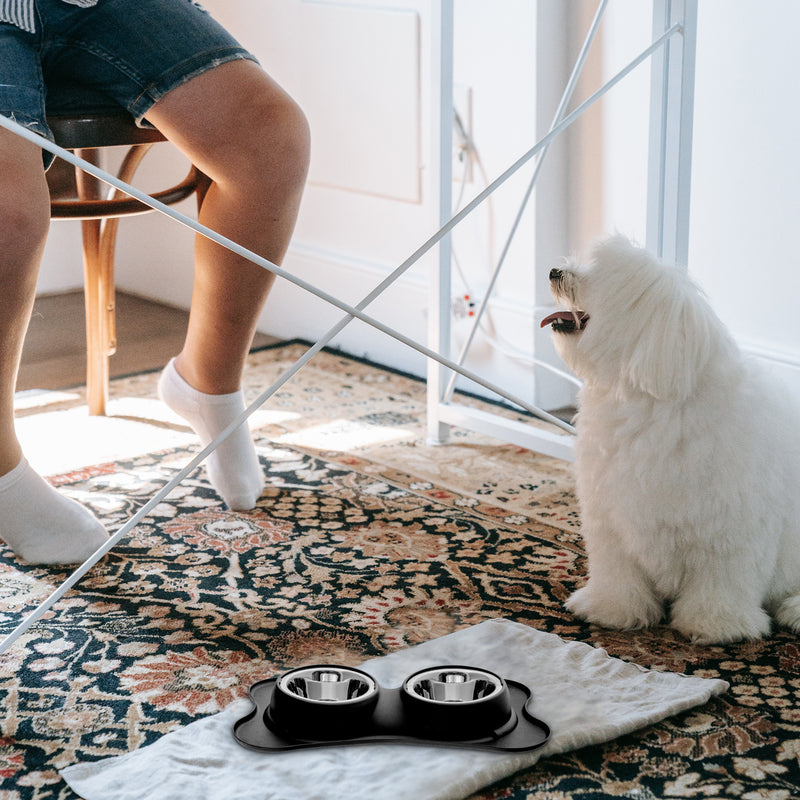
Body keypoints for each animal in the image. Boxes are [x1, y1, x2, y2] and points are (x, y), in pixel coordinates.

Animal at [540, 233, 800, 644]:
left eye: (604, 275)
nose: (555, 271)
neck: (646, 406)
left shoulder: (729, 533)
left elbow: (722, 582)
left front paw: (716, 624)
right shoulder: (611, 520)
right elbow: (618, 574)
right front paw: (611, 609)